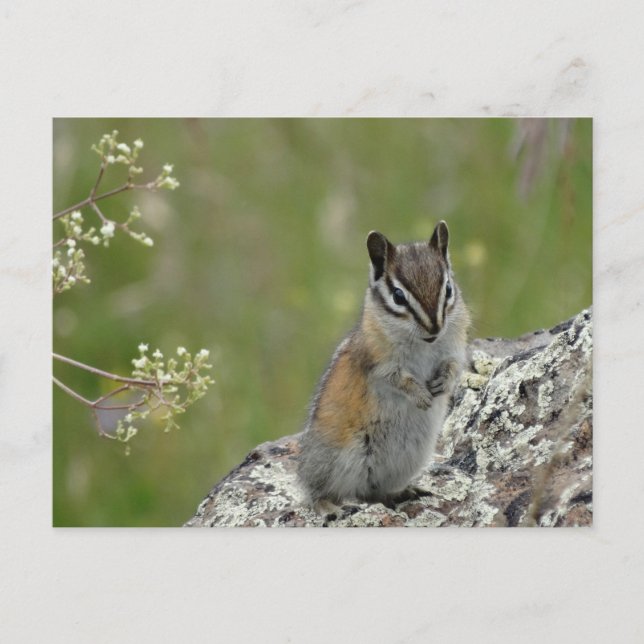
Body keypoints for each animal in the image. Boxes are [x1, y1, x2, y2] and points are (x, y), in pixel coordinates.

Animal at [297, 221, 470, 515]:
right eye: (398, 296)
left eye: (448, 289)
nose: (434, 328)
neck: (424, 343)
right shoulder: (378, 362)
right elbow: (397, 379)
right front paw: (421, 396)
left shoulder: (455, 350)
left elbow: (454, 367)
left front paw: (442, 383)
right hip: (330, 462)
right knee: (317, 492)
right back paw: (328, 507)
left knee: (374, 493)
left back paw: (404, 492)